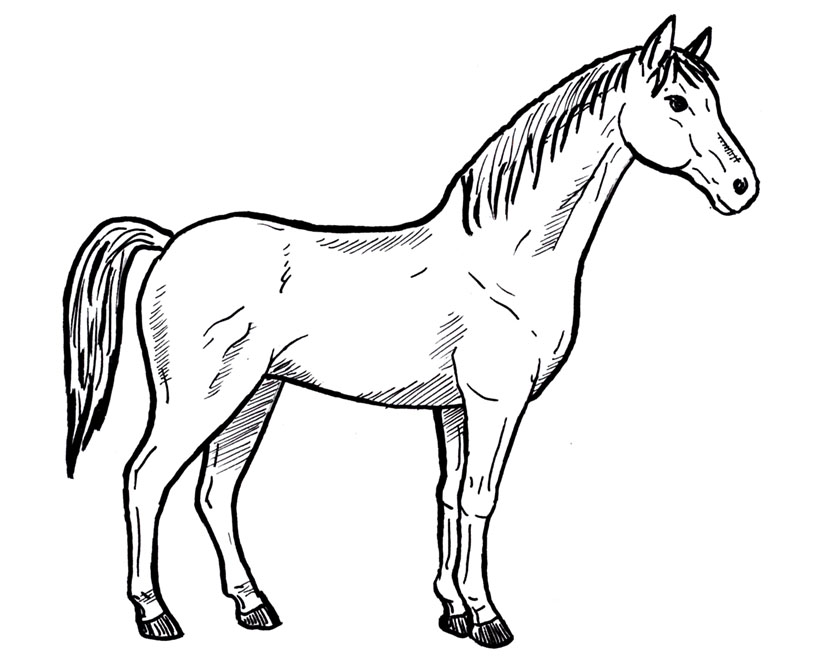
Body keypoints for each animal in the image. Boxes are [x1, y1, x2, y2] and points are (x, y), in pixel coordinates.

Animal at [63, 16, 758, 648]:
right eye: (676, 101)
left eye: (714, 98)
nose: (742, 187)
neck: (504, 259)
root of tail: (169, 243)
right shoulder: (494, 402)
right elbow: (478, 498)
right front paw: (488, 618)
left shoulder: (454, 409)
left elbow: (447, 495)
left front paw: (453, 610)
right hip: (201, 398)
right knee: (144, 479)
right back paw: (155, 615)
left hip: (254, 395)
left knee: (216, 492)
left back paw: (253, 605)